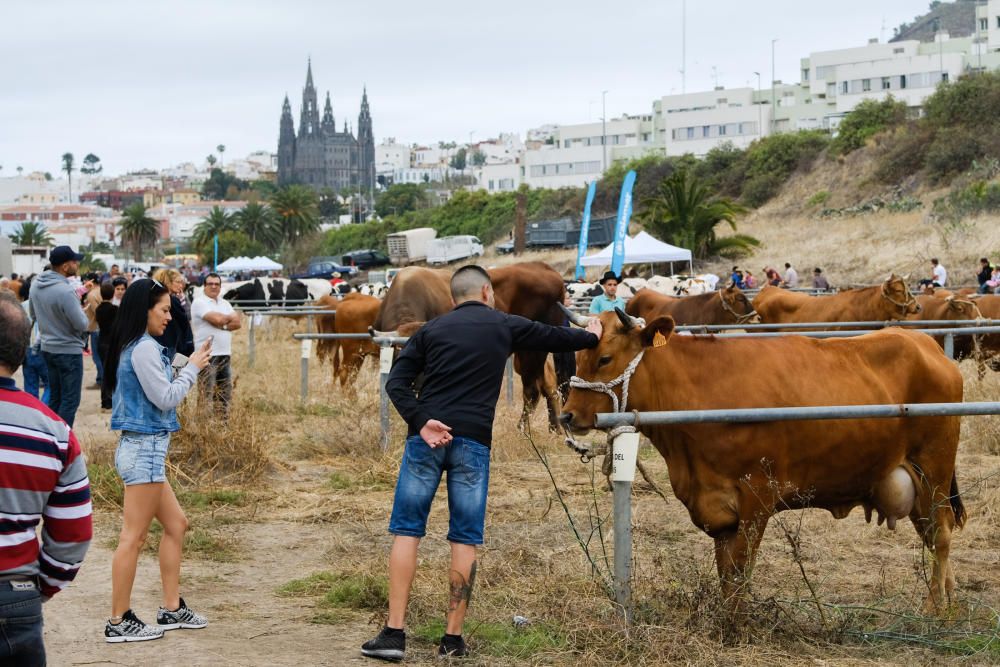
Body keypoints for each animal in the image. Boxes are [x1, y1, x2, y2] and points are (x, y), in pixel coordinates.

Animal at [560, 310, 964, 612]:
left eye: (605, 358)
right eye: (577, 356)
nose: (566, 415)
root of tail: (923, 344)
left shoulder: (757, 497)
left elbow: (740, 568)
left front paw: (738, 625)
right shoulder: (718, 509)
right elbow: (726, 572)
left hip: (935, 467)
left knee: (942, 534)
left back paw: (934, 609)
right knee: (933, 534)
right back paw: (951, 601)